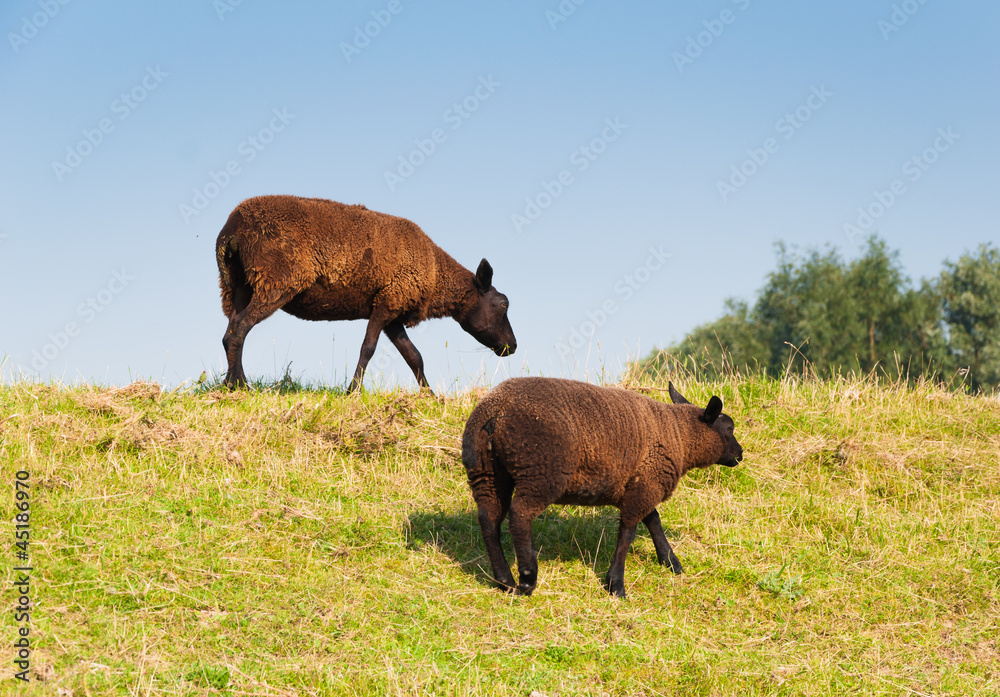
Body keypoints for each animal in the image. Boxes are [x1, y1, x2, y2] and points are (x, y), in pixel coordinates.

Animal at [217, 194, 516, 392]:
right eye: (503, 304)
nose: (512, 346)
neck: (434, 271)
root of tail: (232, 230)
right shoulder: (388, 302)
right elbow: (368, 348)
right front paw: (353, 392)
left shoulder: (395, 311)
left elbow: (414, 357)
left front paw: (430, 396)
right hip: (276, 280)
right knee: (240, 327)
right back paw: (239, 386)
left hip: (239, 283)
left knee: (230, 330)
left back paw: (232, 383)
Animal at [460, 378, 744, 596]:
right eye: (729, 428)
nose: (740, 454)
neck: (679, 436)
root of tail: (495, 411)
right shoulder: (645, 486)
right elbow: (628, 532)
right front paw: (616, 584)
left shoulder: (640, 484)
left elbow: (653, 520)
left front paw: (670, 562)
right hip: (539, 471)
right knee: (520, 515)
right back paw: (528, 577)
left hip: (485, 472)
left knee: (488, 519)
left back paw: (504, 581)